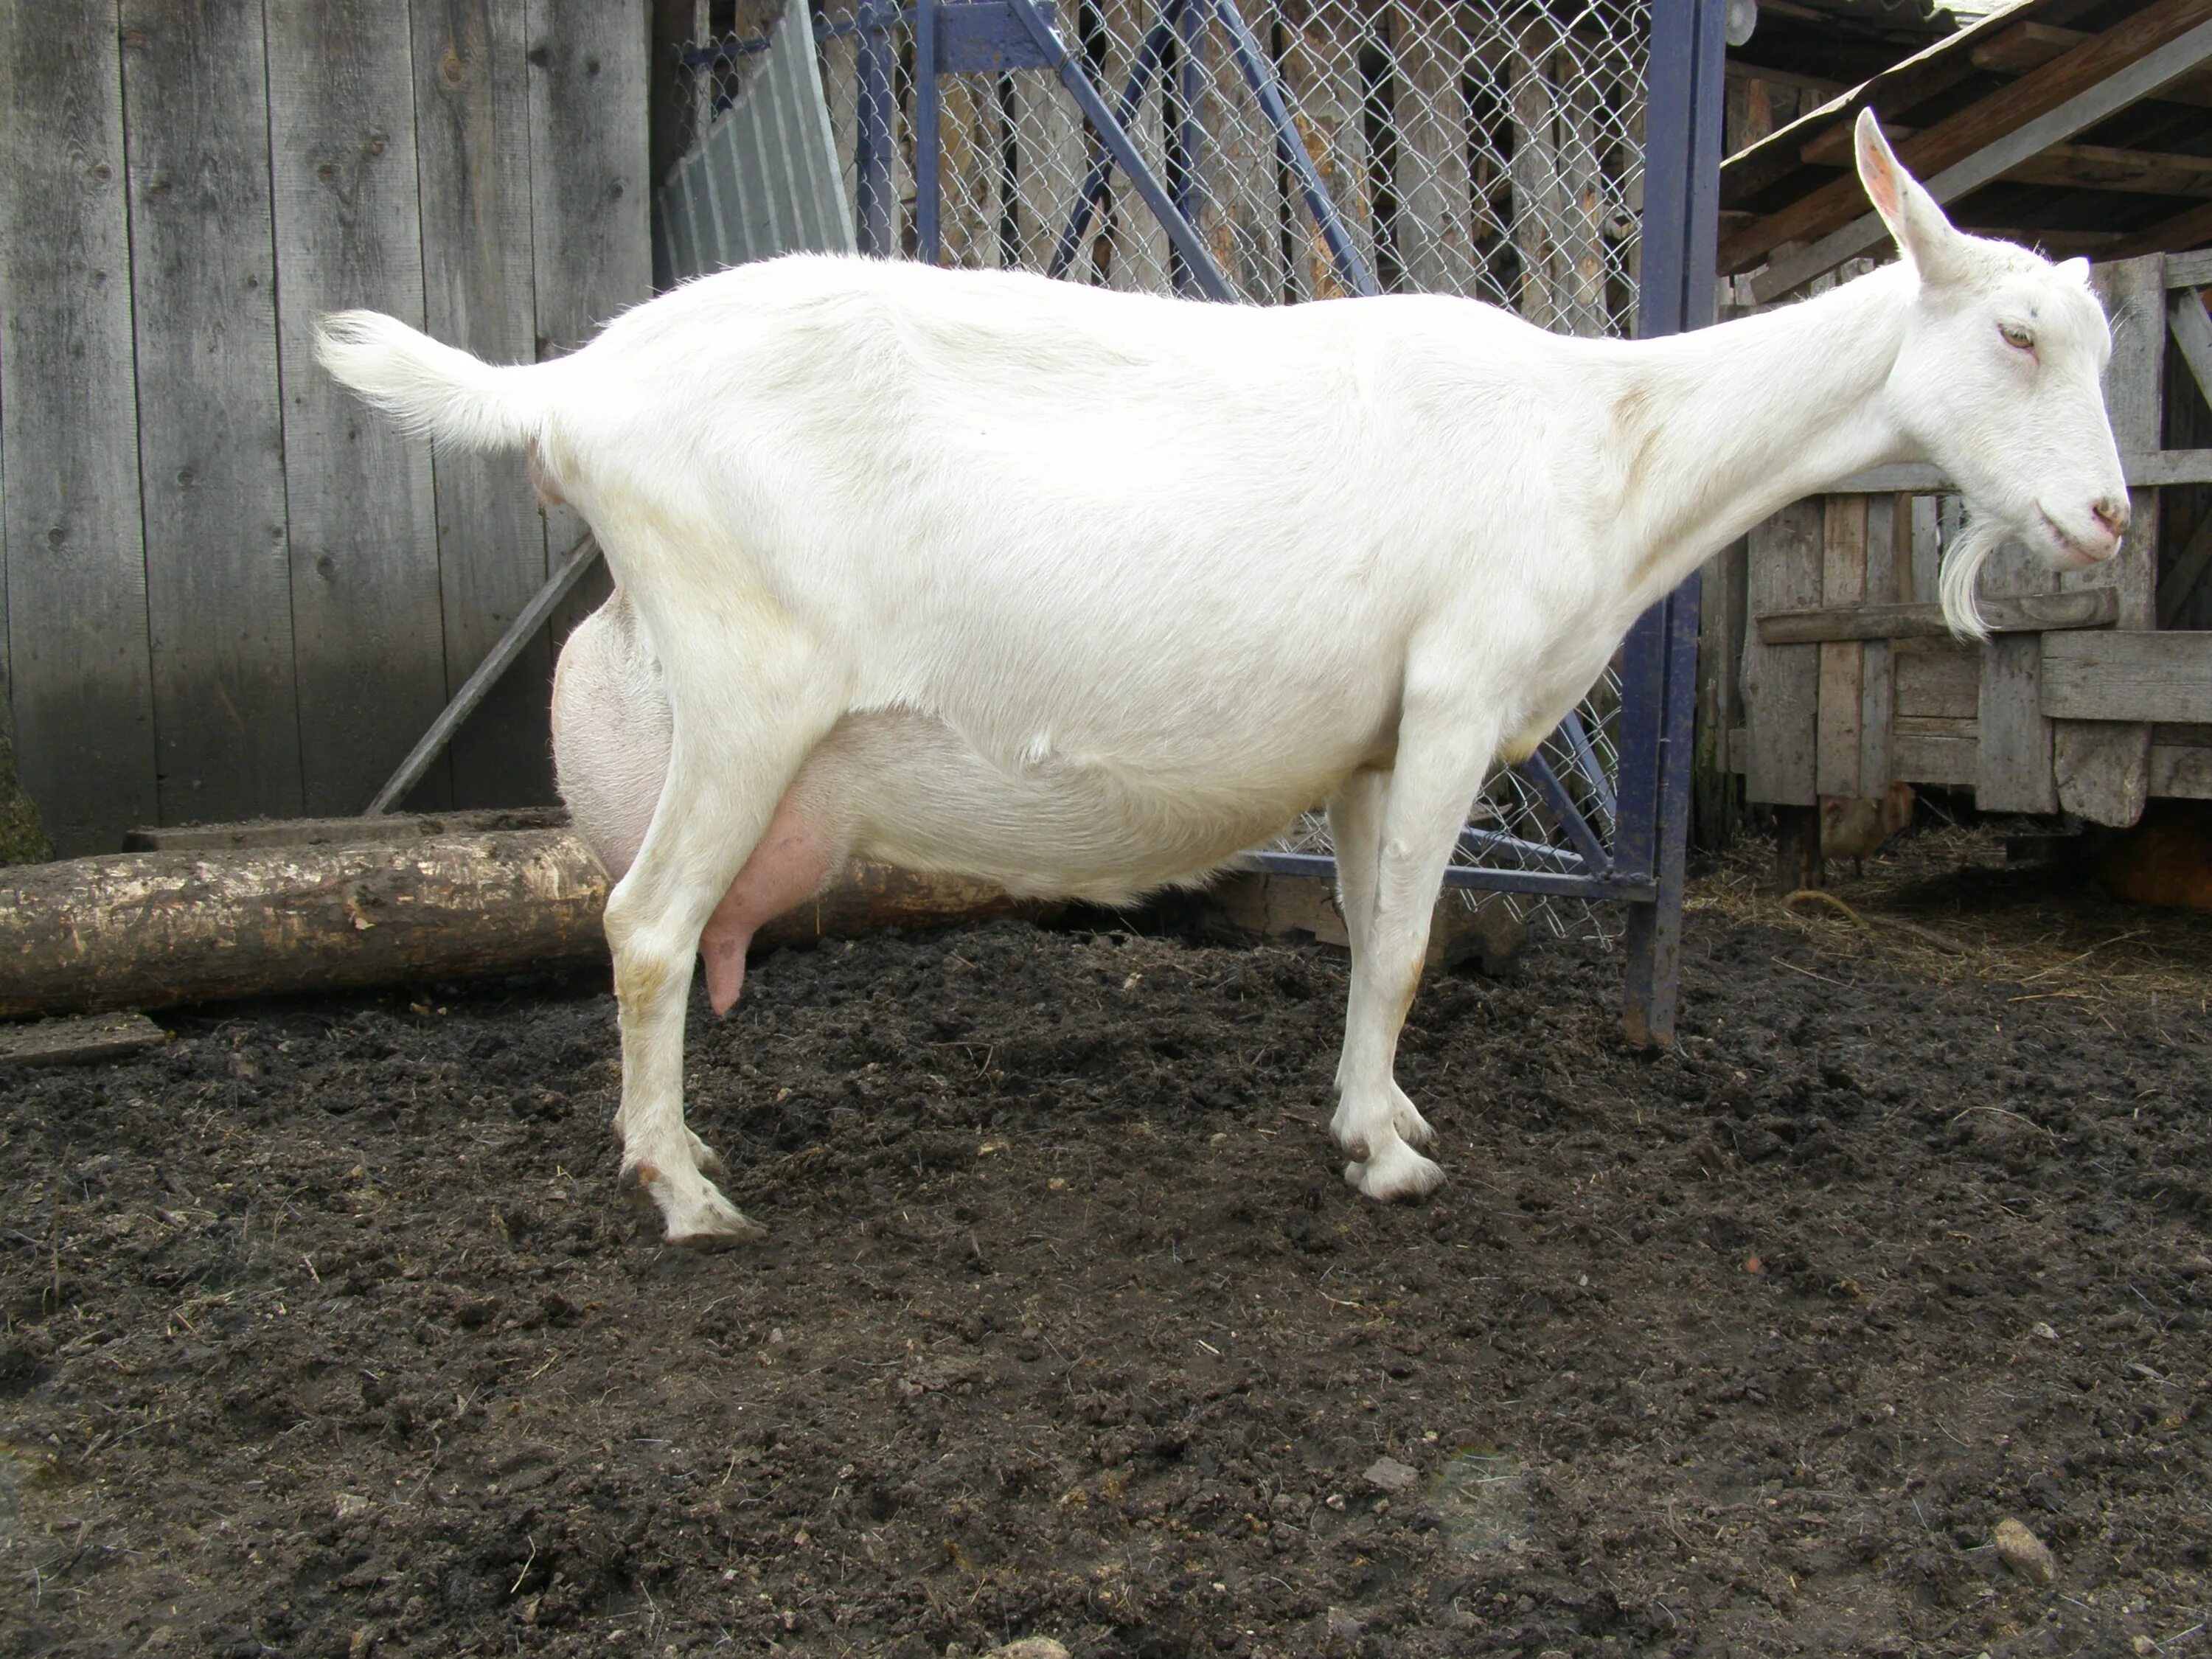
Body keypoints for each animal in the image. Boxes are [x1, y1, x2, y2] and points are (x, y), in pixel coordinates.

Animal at [321, 117, 2132, 1256]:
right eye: (2019, 338)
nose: (2112, 517)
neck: (1610, 440)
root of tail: (572, 389)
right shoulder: (1460, 692)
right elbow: (1407, 947)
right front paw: (1392, 1165)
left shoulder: (1375, 736)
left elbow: (1370, 936)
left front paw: (1370, 1119)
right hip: (746, 689)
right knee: (642, 925)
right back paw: (684, 1195)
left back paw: (682, 1157)